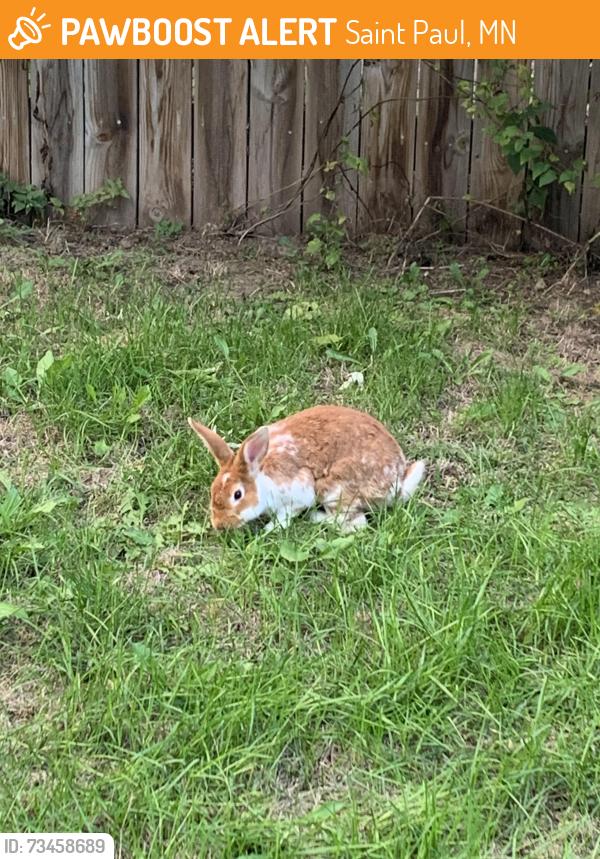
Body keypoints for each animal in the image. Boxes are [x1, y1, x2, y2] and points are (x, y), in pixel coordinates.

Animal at [188, 405, 425, 533]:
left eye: (237, 494)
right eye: (212, 491)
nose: (220, 525)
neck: (261, 479)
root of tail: (395, 481)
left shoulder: (299, 493)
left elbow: (287, 515)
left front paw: (270, 528)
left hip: (334, 490)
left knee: (355, 523)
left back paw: (315, 518)